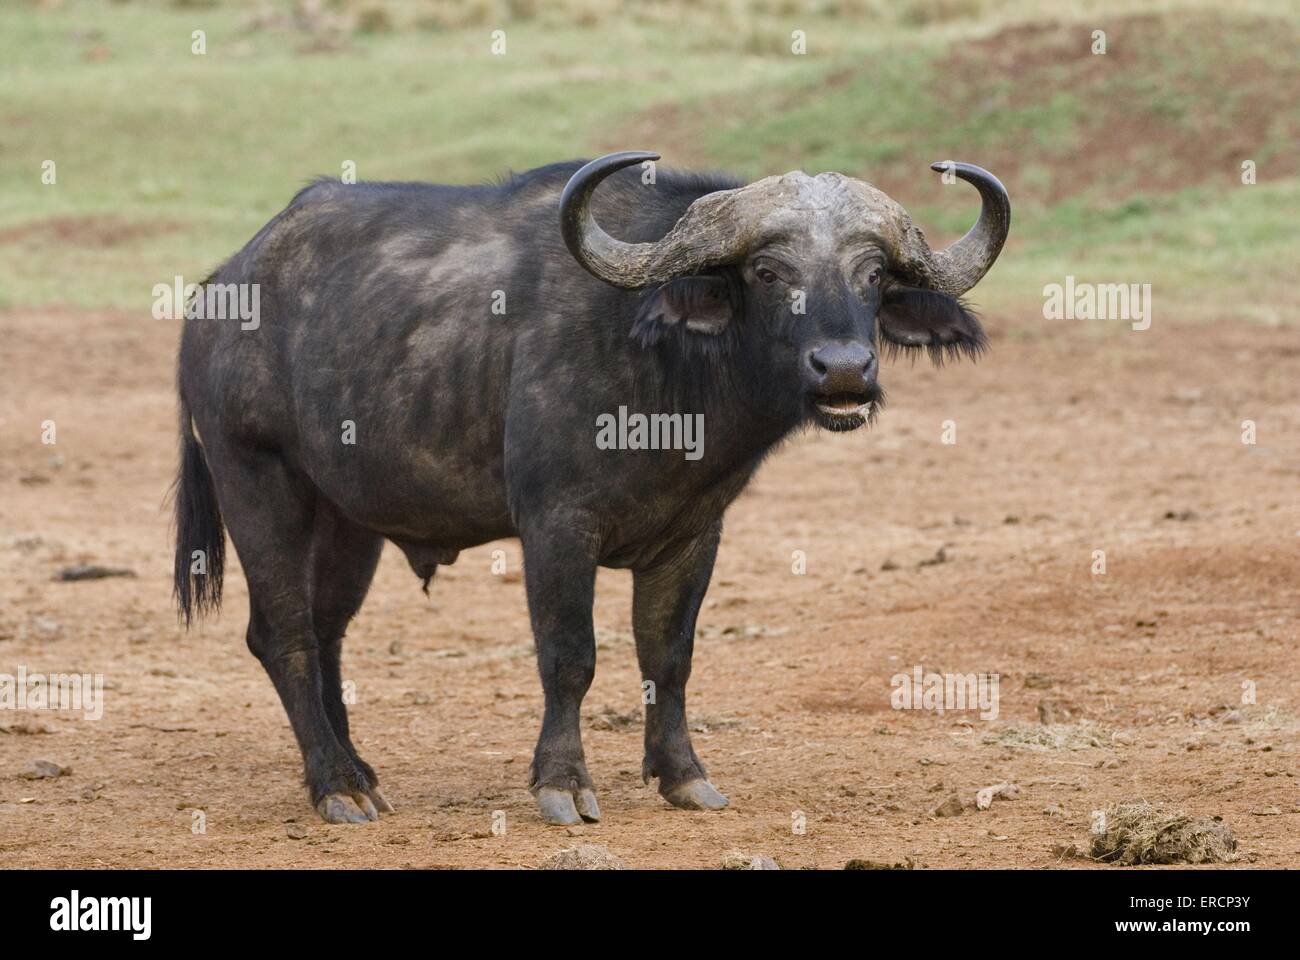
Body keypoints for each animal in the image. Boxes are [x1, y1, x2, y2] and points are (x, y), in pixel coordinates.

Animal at [170, 149, 1003, 822]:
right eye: (769, 272)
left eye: (874, 276)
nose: (844, 371)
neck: (667, 375)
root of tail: (219, 292)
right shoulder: (556, 526)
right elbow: (569, 656)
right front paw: (562, 785)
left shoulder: (694, 535)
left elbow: (669, 656)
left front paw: (683, 775)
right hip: (257, 479)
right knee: (283, 635)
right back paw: (335, 787)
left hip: (348, 517)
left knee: (328, 632)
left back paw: (359, 772)